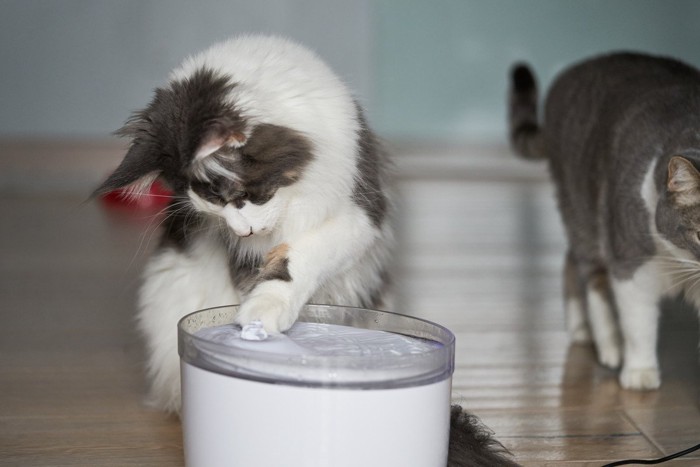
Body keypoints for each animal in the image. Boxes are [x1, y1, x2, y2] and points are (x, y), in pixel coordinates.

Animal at [508, 52, 700, 392]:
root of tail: (579, 67)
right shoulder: (630, 261)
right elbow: (638, 323)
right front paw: (639, 372)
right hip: (582, 208)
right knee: (590, 272)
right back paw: (603, 341)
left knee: (570, 259)